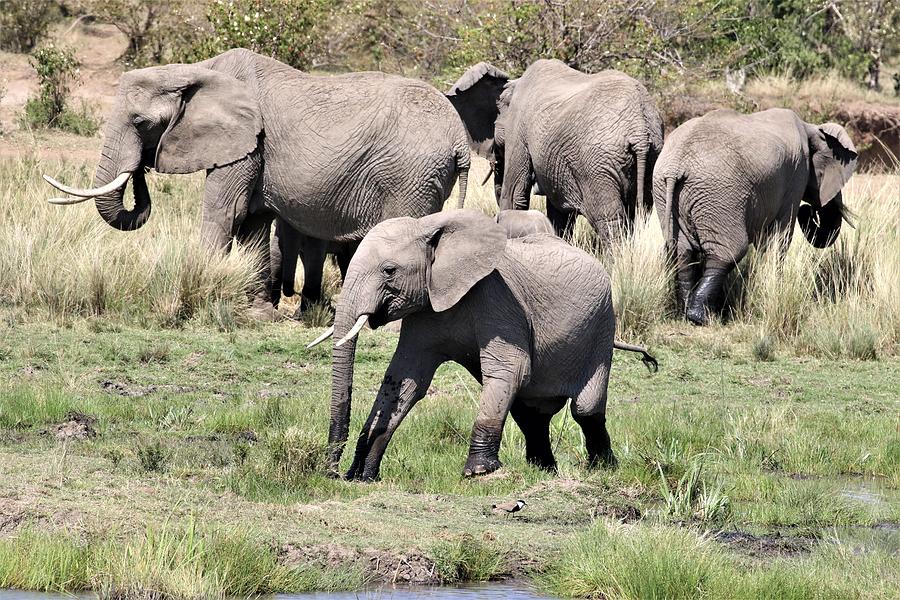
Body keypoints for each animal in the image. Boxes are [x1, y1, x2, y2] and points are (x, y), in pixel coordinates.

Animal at [44, 49, 472, 316]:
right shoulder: (252, 150)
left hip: (409, 177)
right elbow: (252, 222)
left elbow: (225, 212)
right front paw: (258, 313)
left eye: (140, 122)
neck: (196, 69)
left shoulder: (246, 144)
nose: (141, 169)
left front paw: (201, 300)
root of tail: (460, 141)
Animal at [306, 209, 656, 480]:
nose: (333, 472)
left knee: (585, 409)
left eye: (389, 270)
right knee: (529, 413)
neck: (429, 227)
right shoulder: (425, 310)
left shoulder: (498, 298)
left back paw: (603, 468)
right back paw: (543, 469)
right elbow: (405, 379)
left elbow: (511, 369)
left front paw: (478, 472)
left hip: (600, 327)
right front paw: (363, 475)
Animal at [446, 56, 664, 244]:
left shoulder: (518, 129)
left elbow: (514, 193)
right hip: (651, 156)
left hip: (597, 165)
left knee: (609, 219)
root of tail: (639, 129)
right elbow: (558, 211)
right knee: (639, 216)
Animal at [652, 107, 856, 324]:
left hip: (666, 193)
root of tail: (676, 166)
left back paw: (684, 314)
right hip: (720, 194)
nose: (809, 211)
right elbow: (778, 238)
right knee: (729, 252)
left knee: (683, 251)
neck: (810, 128)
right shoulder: (796, 176)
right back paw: (702, 317)